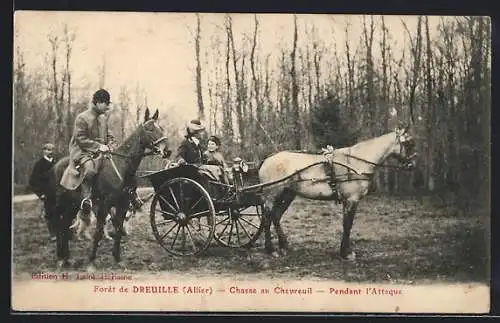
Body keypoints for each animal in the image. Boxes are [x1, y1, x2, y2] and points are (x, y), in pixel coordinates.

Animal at [49, 108, 170, 270]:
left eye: (161, 128)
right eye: (150, 129)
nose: (167, 151)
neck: (121, 167)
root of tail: (56, 165)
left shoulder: (123, 205)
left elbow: (118, 229)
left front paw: (117, 259)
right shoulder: (104, 206)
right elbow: (99, 232)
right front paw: (91, 261)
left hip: (73, 205)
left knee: (64, 225)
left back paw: (66, 258)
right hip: (61, 203)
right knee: (59, 225)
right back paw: (61, 258)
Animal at [256, 126, 416, 260]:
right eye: (408, 144)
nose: (411, 165)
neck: (355, 163)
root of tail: (268, 158)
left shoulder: (349, 201)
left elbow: (346, 224)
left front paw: (343, 251)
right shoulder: (351, 200)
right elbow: (347, 225)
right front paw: (346, 253)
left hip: (287, 194)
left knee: (276, 217)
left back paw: (284, 246)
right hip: (271, 196)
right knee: (267, 219)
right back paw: (271, 249)